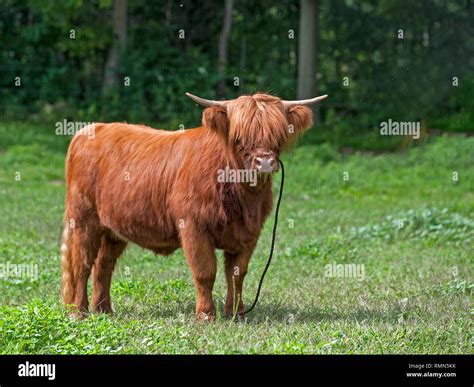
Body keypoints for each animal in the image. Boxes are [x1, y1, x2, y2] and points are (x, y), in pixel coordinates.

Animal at [61, 91, 328, 322]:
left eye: (279, 136)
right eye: (238, 139)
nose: (264, 163)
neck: (241, 197)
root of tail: (90, 129)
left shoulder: (250, 233)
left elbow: (237, 273)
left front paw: (236, 313)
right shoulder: (193, 227)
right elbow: (205, 271)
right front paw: (206, 315)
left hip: (113, 230)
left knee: (103, 266)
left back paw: (103, 309)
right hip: (83, 219)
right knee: (81, 264)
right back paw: (78, 312)